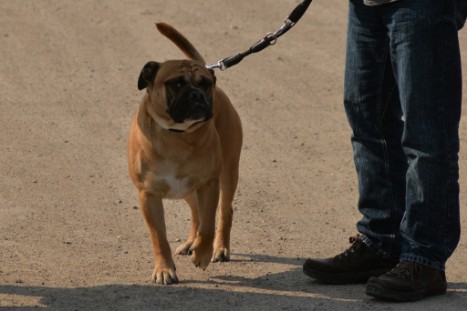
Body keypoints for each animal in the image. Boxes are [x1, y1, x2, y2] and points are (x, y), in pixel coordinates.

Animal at [129, 22, 243, 286]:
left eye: (204, 84)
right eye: (176, 83)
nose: (196, 94)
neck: (177, 134)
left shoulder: (209, 185)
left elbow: (209, 225)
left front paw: (202, 254)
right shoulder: (148, 195)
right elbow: (159, 237)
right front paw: (164, 269)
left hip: (228, 174)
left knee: (224, 212)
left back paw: (219, 249)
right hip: (187, 190)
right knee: (195, 214)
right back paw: (190, 243)